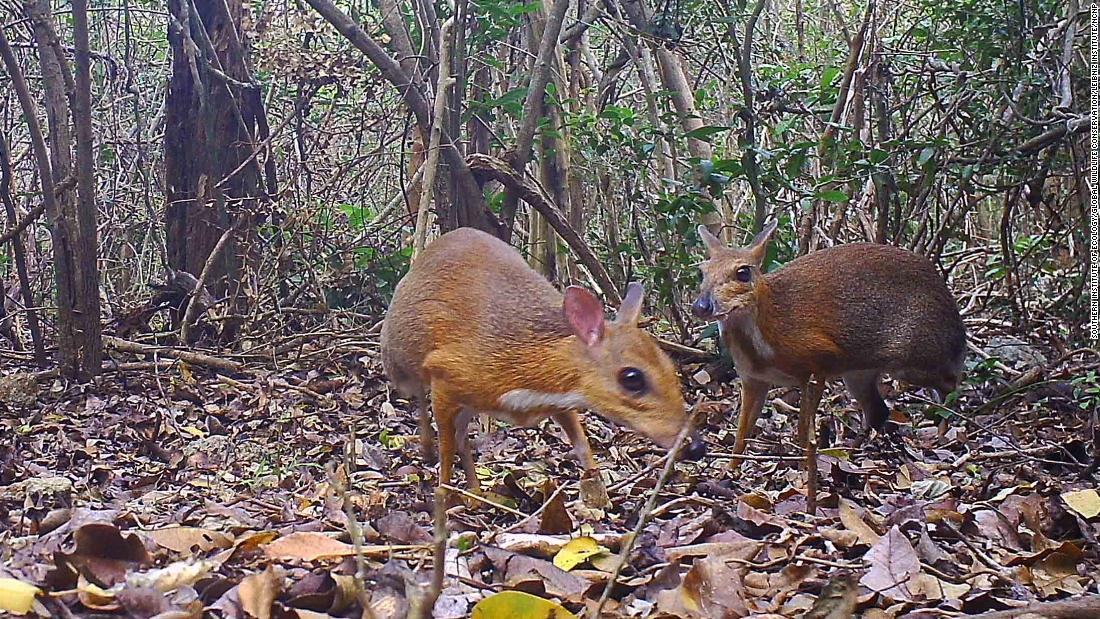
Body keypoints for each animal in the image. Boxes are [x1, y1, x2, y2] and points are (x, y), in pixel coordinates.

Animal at [378, 226, 704, 499]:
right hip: (400, 363)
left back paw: (476, 494)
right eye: (632, 378)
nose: (695, 446)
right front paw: (444, 497)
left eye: (669, 367)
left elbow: (583, 445)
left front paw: (602, 500)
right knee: (422, 403)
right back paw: (429, 452)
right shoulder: (444, 372)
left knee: (461, 434)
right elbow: (446, 449)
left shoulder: (561, 400)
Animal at [695, 225, 963, 505]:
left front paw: (803, 471)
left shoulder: (819, 361)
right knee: (878, 411)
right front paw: (729, 470)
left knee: (952, 383)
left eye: (743, 272)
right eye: (702, 271)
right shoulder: (753, 379)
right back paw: (849, 453)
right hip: (859, 373)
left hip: (916, 358)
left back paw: (944, 433)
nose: (701, 306)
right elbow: (742, 432)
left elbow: (803, 429)